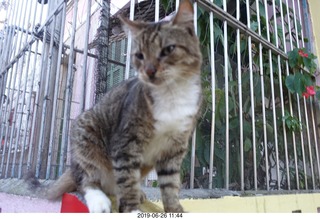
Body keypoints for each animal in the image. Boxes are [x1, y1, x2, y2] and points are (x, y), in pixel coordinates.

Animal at [38, 0, 202, 213]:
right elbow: (127, 181)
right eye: (140, 55)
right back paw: (99, 200)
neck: (171, 94)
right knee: (86, 179)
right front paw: (133, 211)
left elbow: (170, 184)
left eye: (168, 49)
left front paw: (175, 209)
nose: (149, 70)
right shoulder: (125, 144)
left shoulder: (174, 148)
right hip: (85, 134)